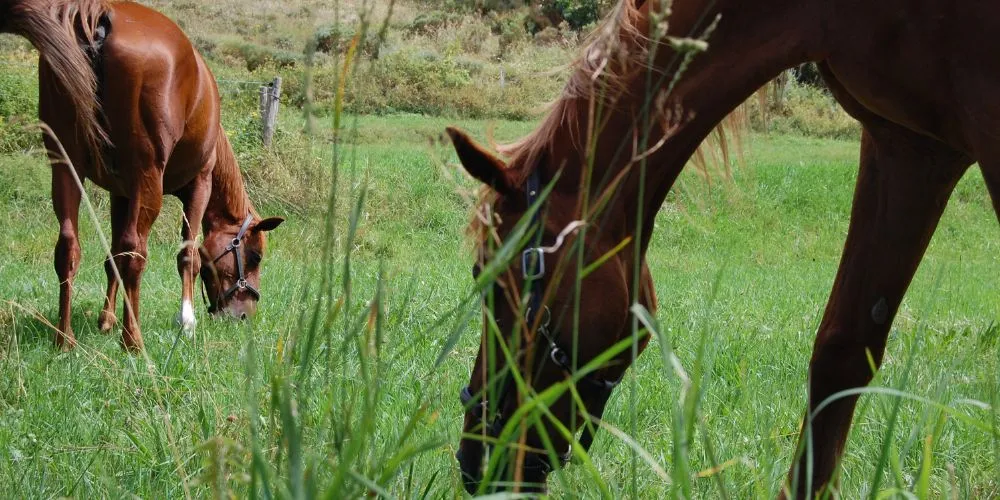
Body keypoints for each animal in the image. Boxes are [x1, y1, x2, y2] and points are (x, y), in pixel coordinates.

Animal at [0, 0, 284, 352]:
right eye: (254, 256)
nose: (243, 316)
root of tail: (100, 18)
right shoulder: (199, 185)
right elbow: (187, 255)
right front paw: (186, 322)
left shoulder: (120, 192)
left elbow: (113, 255)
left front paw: (106, 319)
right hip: (147, 178)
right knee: (136, 253)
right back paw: (132, 340)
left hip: (66, 167)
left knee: (69, 247)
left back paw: (64, 339)